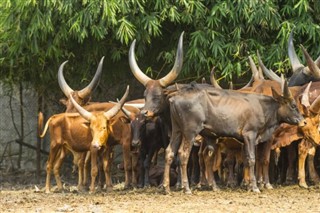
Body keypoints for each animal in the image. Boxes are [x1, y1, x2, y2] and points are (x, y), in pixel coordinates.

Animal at [162, 79, 304, 193]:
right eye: (293, 105)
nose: (303, 121)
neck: (263, 108)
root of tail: (175, 97)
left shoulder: (244, 140)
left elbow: (246, 160)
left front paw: (248, 185)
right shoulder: (250, 135)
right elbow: (252, 159)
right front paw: (255, 187)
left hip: (178, 131)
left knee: (171, 152)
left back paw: (167, 187)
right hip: (190, 132)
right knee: (183, 154)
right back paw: (186, 188)